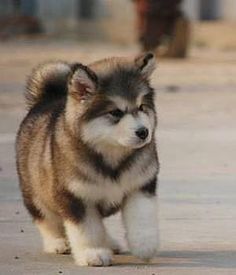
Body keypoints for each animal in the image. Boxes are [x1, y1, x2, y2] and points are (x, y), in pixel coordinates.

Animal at [16, 52, 160, 268]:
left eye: (142, 107)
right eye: (115, 112)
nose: (144, 132)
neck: (111, 157)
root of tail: (47, 98)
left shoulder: (140, 185)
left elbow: (142, 217)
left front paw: (145, 245)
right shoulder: (75, 197)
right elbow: (88, 229)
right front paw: (92, 253)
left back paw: (110, 243)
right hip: (35, 193)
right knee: (46, 220)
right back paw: (58, 242)